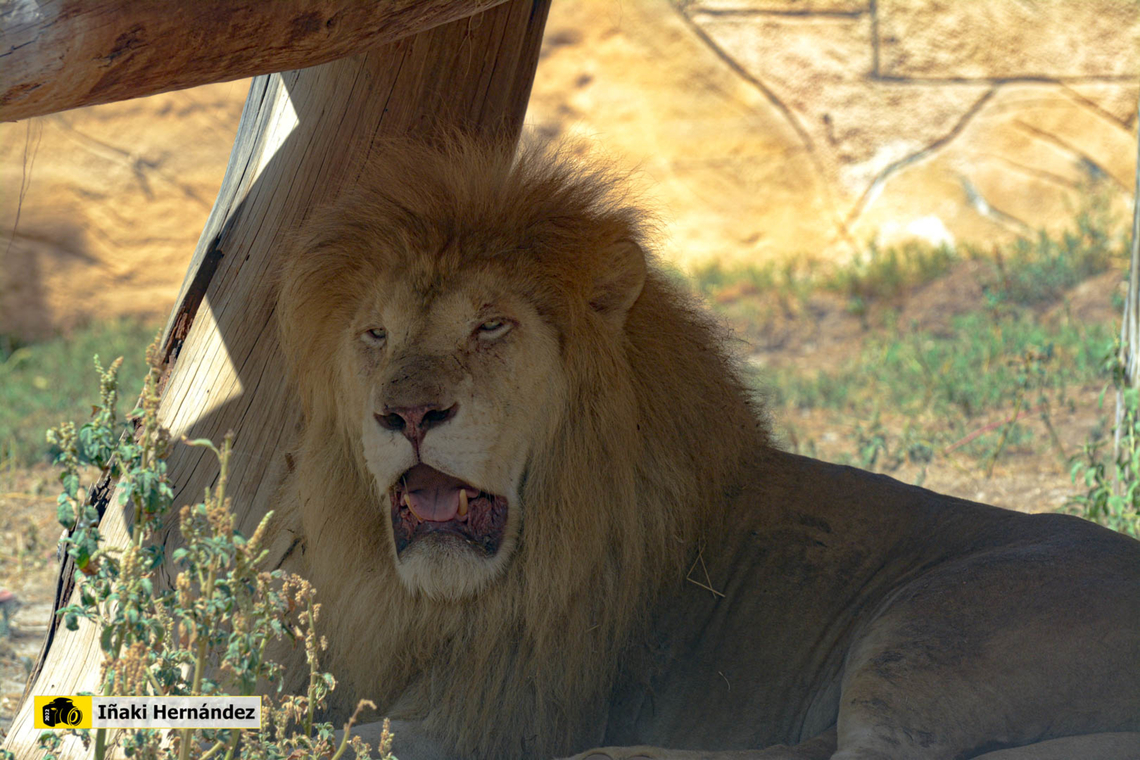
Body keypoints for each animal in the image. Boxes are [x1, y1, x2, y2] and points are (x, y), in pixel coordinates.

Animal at [268, 136, 1140, 760]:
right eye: (375, 335)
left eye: (490, 326)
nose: (409, 413)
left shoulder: (497, 720)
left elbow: (319, 742)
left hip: (926, 632)